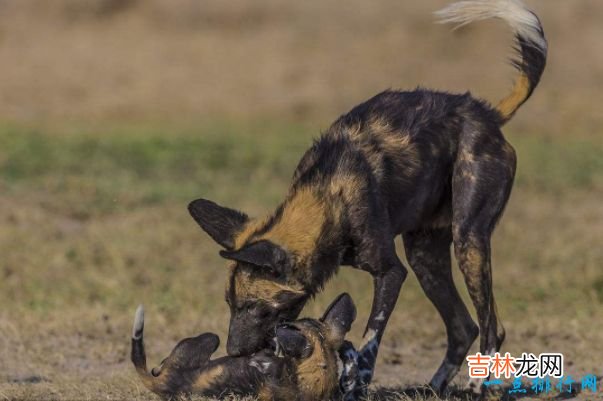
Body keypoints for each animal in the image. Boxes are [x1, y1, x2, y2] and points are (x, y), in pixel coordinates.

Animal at [188, 0, 548, 396]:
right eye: (231, 304)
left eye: (256, 307)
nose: (234, 352)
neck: (328, 201)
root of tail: (486, 114)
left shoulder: (390, 272)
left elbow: (370, 339)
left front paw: (356, 379)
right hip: (425, 258)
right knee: (462, 326)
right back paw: (432, 388)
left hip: (468, 242)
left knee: (490, 326)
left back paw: (482, 386)